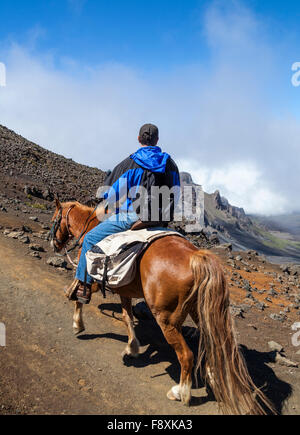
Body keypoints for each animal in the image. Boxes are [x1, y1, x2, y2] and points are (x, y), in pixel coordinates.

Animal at [49, 200, 274, 416]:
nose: (54, 244)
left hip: (166, 320)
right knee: (213, 346)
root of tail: (195, 257)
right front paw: (132, 347)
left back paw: (180, 392)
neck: (91, 226)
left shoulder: (93, 279)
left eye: (54, 219)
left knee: (187, 356)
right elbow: (127, 318)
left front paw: (77, 323)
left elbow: (80, 294)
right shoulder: (124, 288)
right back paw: (213, 377)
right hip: (198, 312)